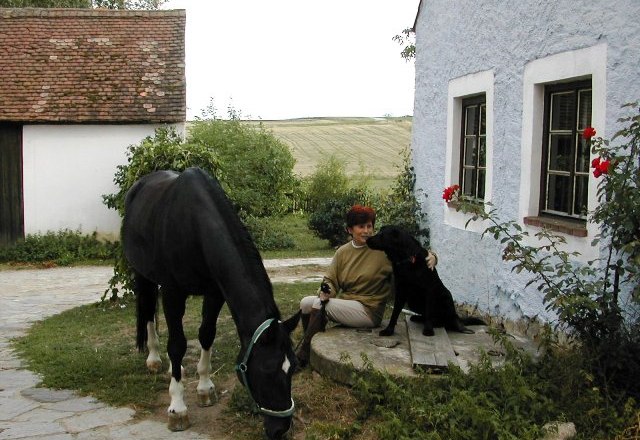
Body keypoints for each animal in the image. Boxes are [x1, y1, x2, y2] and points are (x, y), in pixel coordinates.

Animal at [122, 167, 300, 440]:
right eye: (268, 370)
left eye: (293, 368)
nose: (280, 429)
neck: (195, 226)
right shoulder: (173, 293)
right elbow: (177, 345)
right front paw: (177, 408)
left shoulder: (215, 292)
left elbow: (206, 334)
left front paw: (205, 387)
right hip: (143, 274)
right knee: (148, 310)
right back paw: (154, 358)